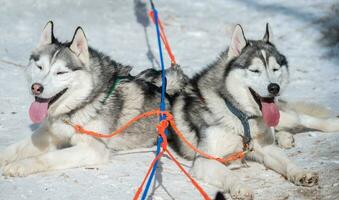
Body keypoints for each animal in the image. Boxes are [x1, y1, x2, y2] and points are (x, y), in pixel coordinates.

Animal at [0, 21, 189, 176]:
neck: (81, 105)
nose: (36, 87)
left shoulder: (92, 149)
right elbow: (14, 148)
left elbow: (49, 157)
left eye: (60, 72)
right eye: (40, 67)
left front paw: (20, 165)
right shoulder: (48, 133)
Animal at [171, 24, 339, 199]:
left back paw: (332, 124)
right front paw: (240, 187)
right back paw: (284, 137)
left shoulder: (265, 148)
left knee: (301, 118)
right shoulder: (206, 160)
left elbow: (287, 162)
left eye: (275, 69)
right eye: (255, 70)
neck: (239, 115)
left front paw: (300, 173)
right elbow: (228, 174)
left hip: (285, 117)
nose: (274, 88)